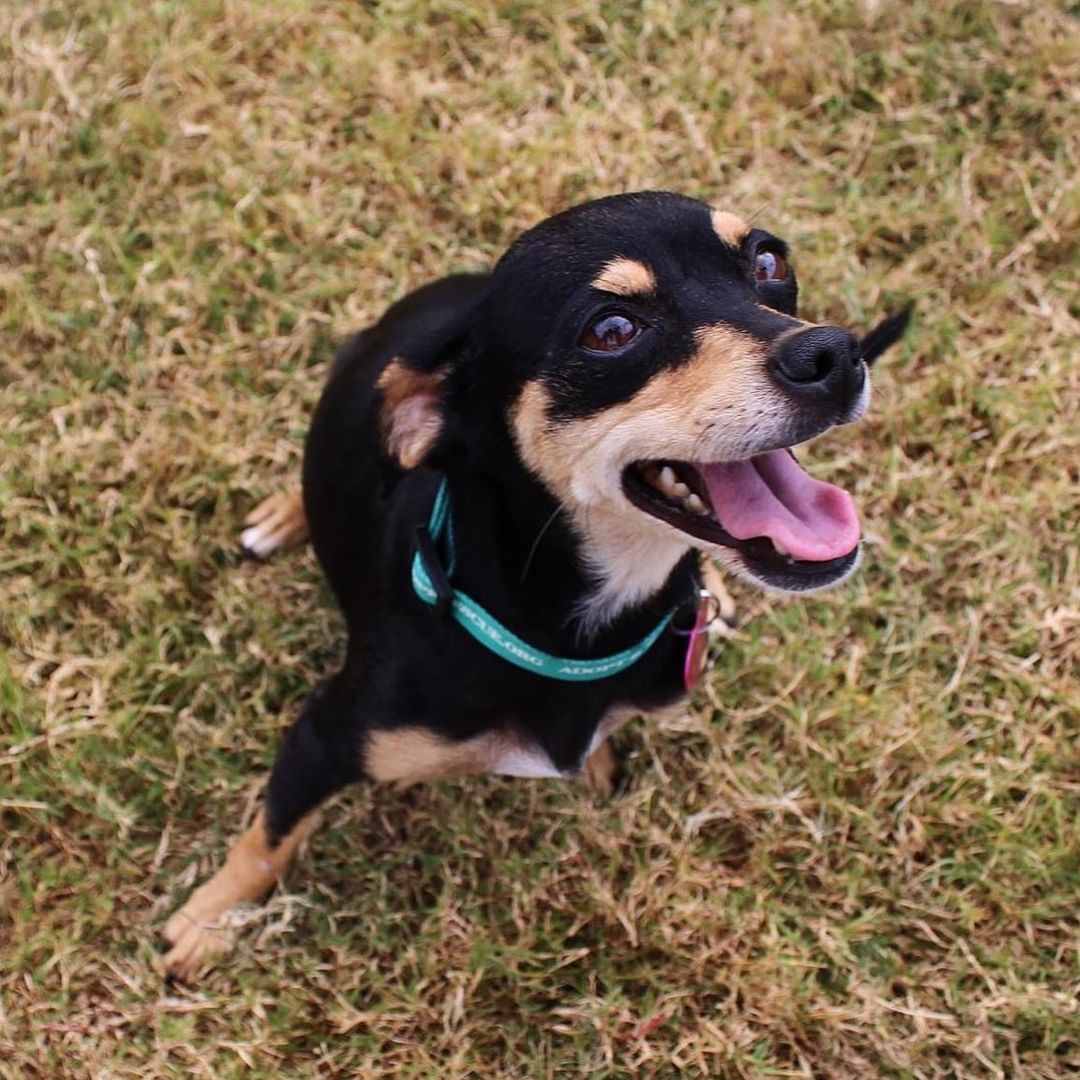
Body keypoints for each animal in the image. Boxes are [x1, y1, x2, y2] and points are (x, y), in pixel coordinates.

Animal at [159, 187, 907, 980]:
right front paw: (207, 921)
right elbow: (268, 841)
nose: (833, 354)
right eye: (611, 329)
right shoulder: (326, 735)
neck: (570, 631)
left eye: (769, 262)